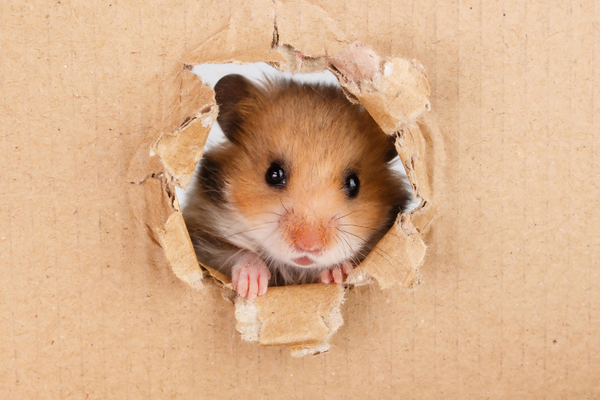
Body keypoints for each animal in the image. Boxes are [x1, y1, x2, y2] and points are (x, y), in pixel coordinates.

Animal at [180, 74, 410, 300]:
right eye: (273, 174)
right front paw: (252, 287)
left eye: (354, 183)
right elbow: (238, 253)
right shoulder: (203, 239)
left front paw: (336, 273)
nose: (309, 246)